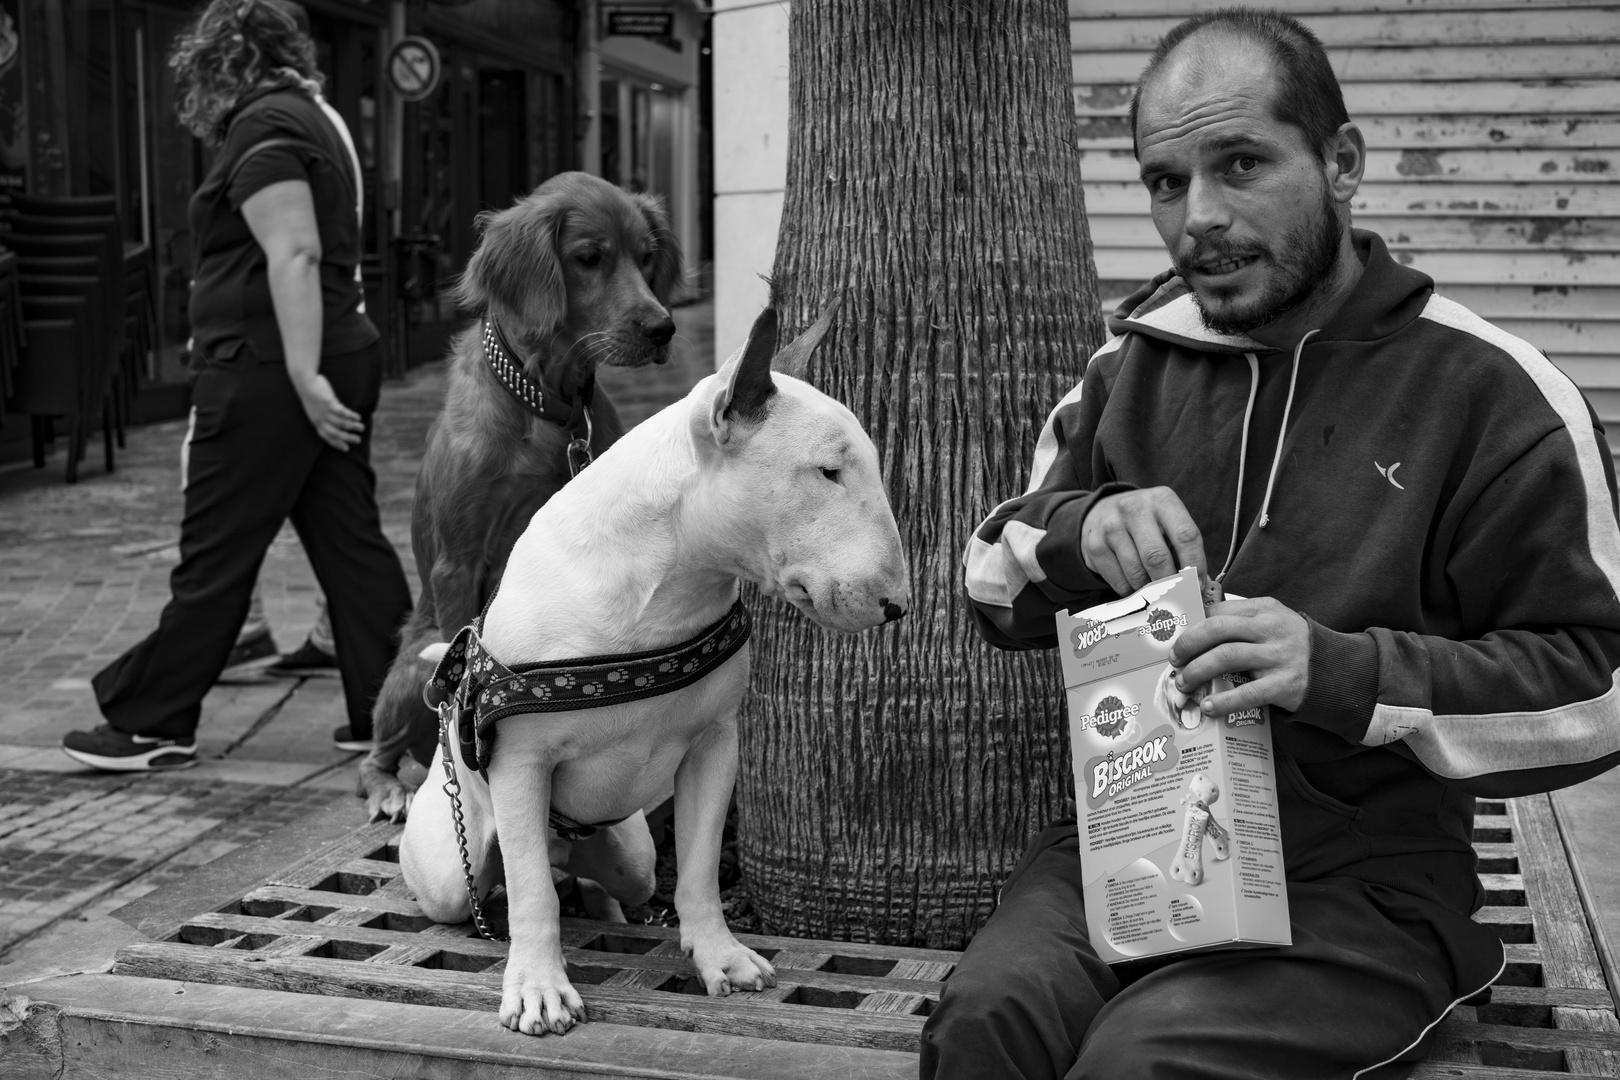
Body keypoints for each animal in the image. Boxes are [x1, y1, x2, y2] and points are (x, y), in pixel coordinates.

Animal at [358, 173, 680, 822]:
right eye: (589, 258)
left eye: (646, 255)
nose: (663, 328)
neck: (545, 405)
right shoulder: (457, 563)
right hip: (414, 661)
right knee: (378, 753)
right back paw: (391, 788)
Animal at [400, 304, 913, 1036]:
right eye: (827, 472)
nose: (898, 605)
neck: (665, 589)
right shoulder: (521, 765)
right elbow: (531, 893)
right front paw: (538, 990)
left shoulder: (715, 743)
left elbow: (698, 866)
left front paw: (721, 958)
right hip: (452, 865)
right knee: (502, 882)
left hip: (634, 854)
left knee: (609, 880)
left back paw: (609, 904)